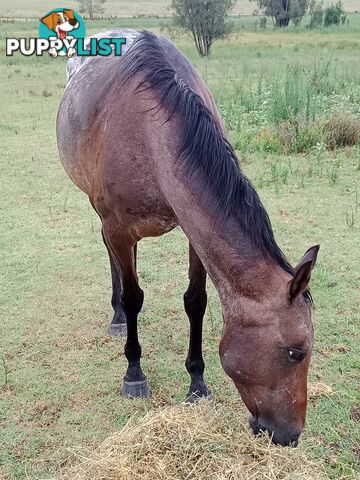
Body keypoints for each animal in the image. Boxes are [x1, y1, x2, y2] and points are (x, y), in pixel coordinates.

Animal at [57, 30, 320, 446]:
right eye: (296, 352)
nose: (289, 435)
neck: (149, 134)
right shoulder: (116, 227)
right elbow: (134, 298)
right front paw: (134, 372)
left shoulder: (192, 232)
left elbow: (196, 301)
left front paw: (197, 381)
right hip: (100, 214)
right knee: (114, 261)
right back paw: (116, 316)